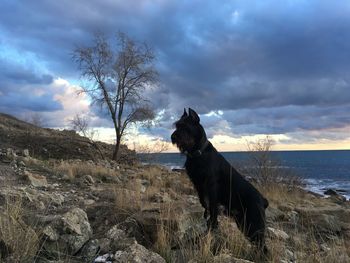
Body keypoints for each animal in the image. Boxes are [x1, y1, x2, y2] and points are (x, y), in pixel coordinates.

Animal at [171, 108, 270, 254]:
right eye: (177, 125)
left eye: (186, 127)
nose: (173, 137)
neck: (199, 152)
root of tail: (263, 200)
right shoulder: (198, 185)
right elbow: (204, 202)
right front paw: (205, 214)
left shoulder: (211, 186)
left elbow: (212, 206)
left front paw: (212, 223)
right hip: (243, 224)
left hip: (254, 225)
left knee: (263, 247)